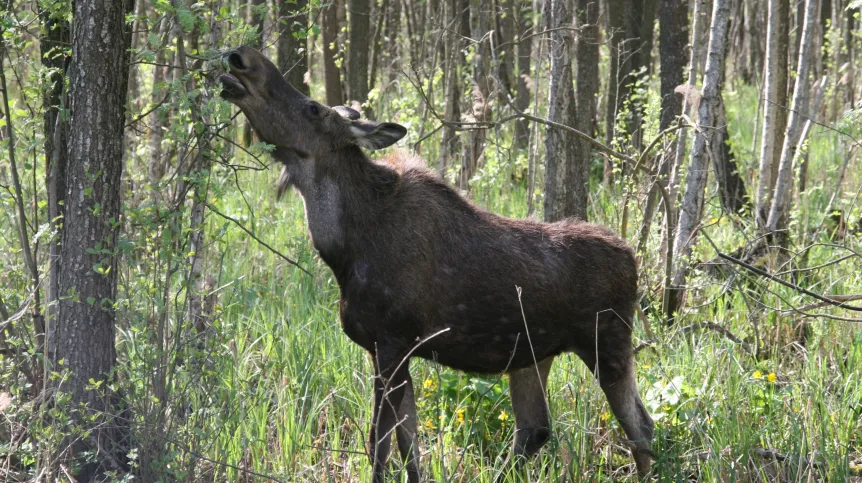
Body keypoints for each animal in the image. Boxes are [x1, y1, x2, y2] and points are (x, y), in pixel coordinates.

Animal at [221, 46, 656, 483]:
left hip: (607, 342)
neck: (343, 250)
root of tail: (633, 261)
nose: (243, 57)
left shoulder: (393, 341)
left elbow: (380, 444)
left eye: (312, 108)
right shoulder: (383, 349)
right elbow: (407, 444)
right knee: (535, 428)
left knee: (641, 427)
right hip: (534, 354)